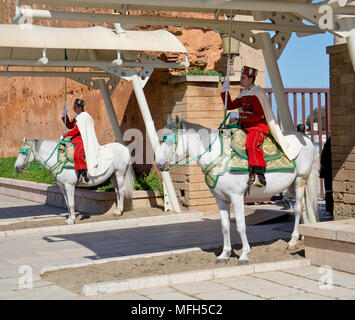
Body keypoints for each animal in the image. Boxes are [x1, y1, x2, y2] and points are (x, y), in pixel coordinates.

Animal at [156, 115, 320, 264]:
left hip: (300, 180)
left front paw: (244, 255)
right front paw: (224, 254)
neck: (218, 156)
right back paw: (303, 236)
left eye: (169, 140)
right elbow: (225, 226)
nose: (159, 165)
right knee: (304, 208)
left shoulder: (237, 197)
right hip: (292, 185)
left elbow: (240, 226)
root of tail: (306, 138)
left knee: (298, 209)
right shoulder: (221, 199)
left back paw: (293, 241)